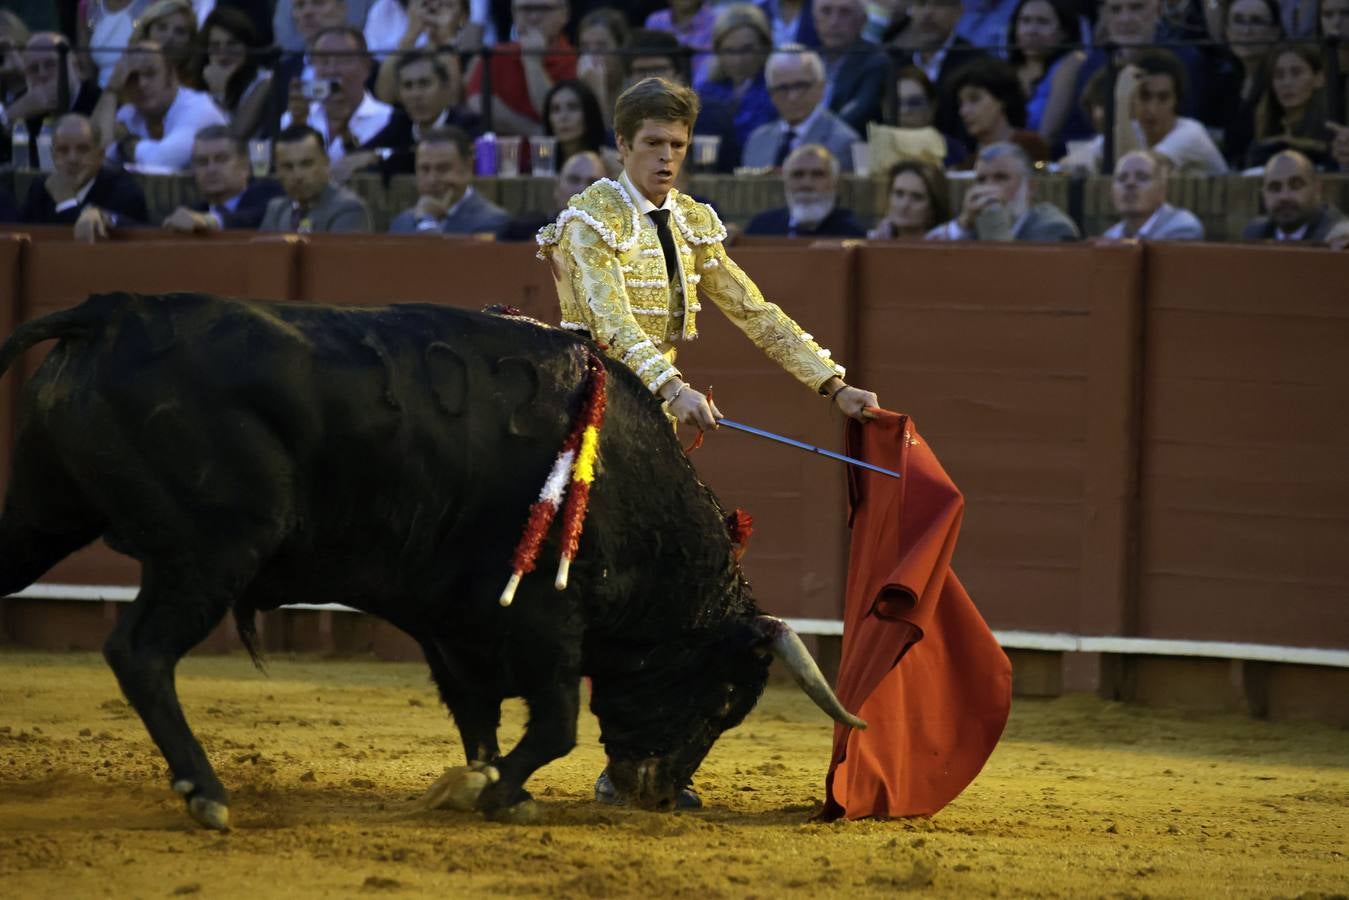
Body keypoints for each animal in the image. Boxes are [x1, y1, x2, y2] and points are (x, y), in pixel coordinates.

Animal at [0, 294, 863, 831]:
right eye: (725, 701)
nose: (654, 793)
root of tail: (112, 313)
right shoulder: (546, 618)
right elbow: (555, 724)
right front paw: (497, 794)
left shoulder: (459, 622)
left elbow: (477, 716)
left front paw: (480, 784)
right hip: (209, 552)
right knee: (140, 653)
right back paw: (207, 794)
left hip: (42, 516)